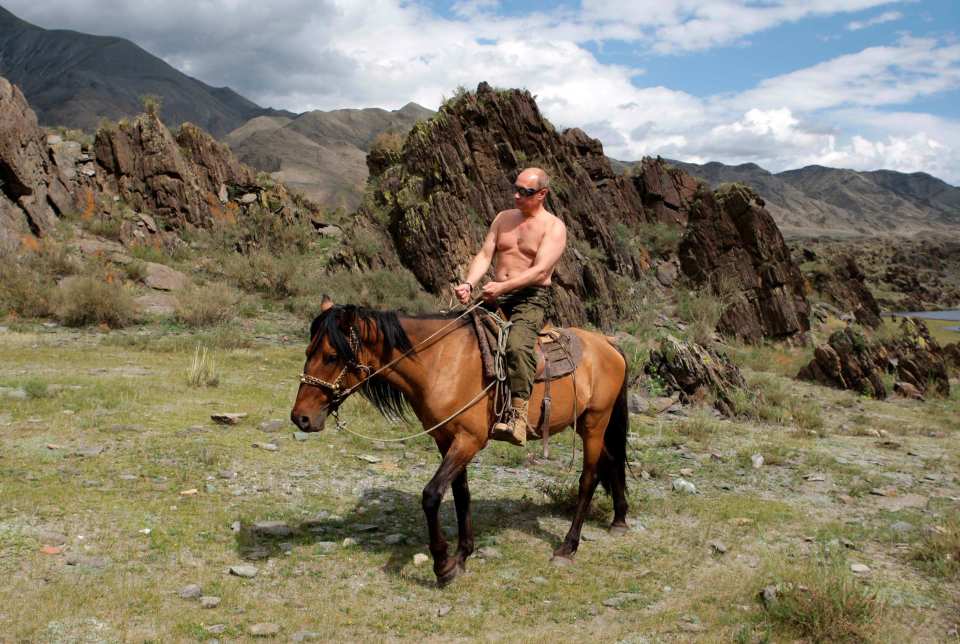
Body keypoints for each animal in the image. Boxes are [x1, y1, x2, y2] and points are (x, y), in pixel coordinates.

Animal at [290, 300, 632, 588]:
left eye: (332, 356)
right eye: (307, 352)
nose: (300, 418)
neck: (439, 363)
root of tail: (608, 344)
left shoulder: (469, 440)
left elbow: (431, 495)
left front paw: (443, 565)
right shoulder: (447, 440)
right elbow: (460, 494)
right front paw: (462, 555)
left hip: (594, 422)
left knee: (588, 478)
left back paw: (567, 546)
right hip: (586, 422)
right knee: (612, 460)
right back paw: (619, 519)